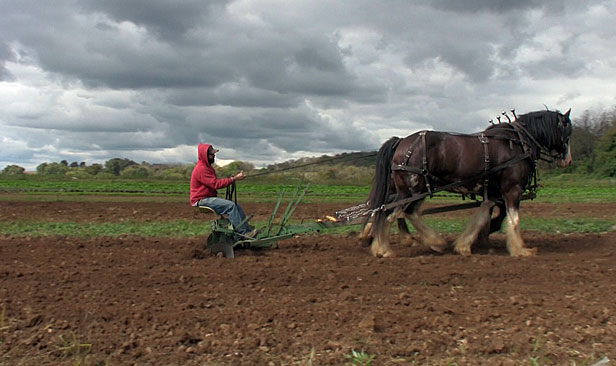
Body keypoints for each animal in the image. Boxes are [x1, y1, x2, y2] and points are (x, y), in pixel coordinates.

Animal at [366, 108, 572, 258]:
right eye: (567, 133)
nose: (568, 160)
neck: (518, 143)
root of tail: (401, 142)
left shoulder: (493, 192)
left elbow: (483, 217)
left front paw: (465, 245)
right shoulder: (512, 189)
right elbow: (513, 219)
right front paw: (520, 249)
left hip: (416, 190)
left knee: (404, 212)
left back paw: (433, 242)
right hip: (411, 190)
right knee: (390, 213)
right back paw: (384, 249)